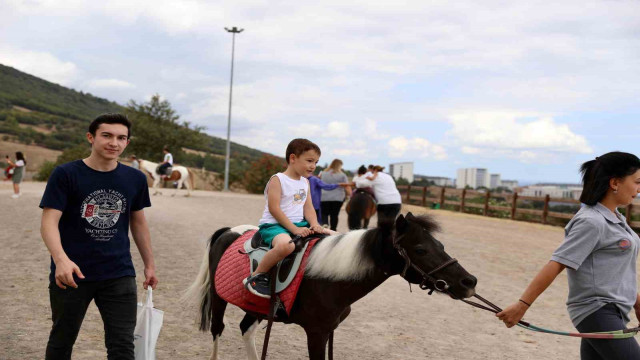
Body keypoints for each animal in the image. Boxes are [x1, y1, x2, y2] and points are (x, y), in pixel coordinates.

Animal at [184, 212, 476, 358]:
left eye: (440, 244)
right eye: (420, 249)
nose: (469, 281)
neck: (329, 278)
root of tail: (229, 231)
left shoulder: (329, 330)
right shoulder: (317, 332)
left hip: (256, 307)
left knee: (246, 330)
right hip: (219, 298)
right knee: (218, 330)